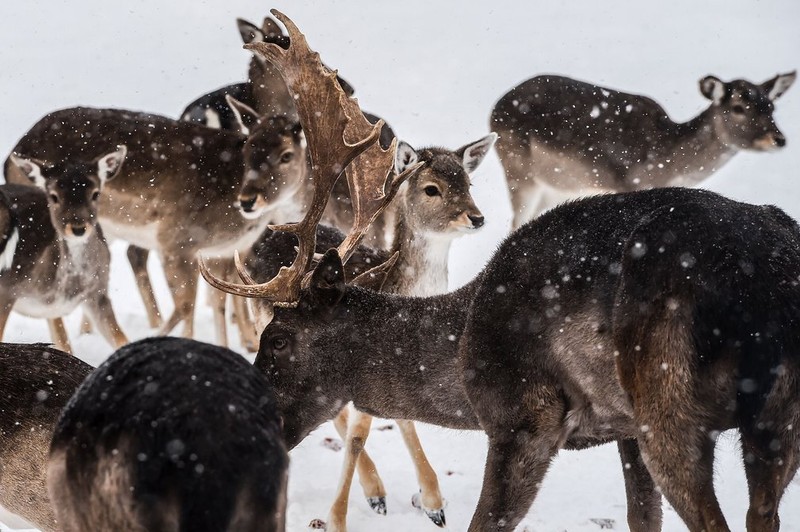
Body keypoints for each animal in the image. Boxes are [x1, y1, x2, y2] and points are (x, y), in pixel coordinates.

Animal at [0, 148, 128, 352]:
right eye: (54, 196)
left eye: (95, 193)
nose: (78, 228)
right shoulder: (7, 289)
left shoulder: (98, 293)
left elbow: (122, 340)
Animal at [490, 70, 796, 227]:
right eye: (738, 107)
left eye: (771, 106)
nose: (778, 139)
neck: (668, 164)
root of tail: (494, 110)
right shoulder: (627, 184)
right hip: (520, 174)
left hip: (555, 188)